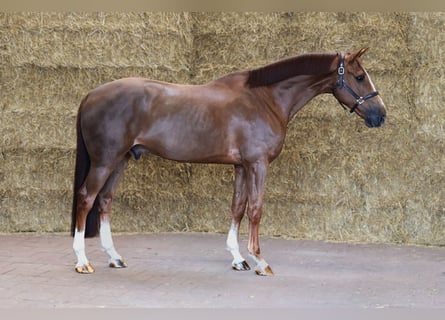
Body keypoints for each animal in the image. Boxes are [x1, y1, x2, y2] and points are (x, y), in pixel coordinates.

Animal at [71, 48, 384, 276]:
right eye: (359, 77)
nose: (380, 115)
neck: (264, 100)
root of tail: (90, 95)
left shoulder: (242, 166)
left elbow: (238, 208)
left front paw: (238, 258)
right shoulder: (258, 164)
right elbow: (255, 210)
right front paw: (259, 261)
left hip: (121, 160)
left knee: (105, 201)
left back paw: (114, 257)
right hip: (105, 161)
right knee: (87, 198)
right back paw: (82, 261)